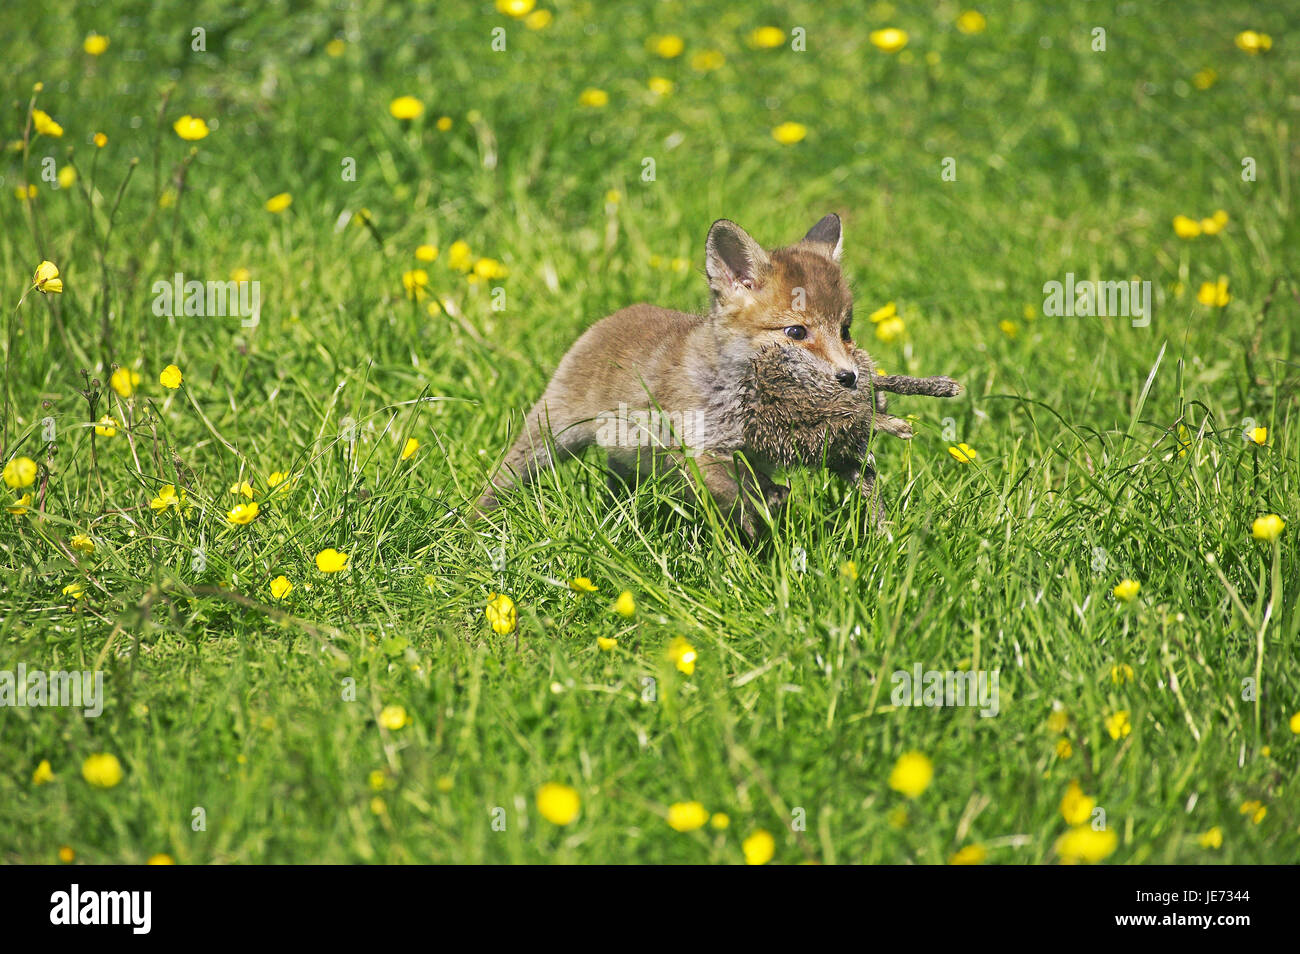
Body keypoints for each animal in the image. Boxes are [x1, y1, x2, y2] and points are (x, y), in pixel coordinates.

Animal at [476, 214, 961, 537]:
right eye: (796, 332)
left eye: (845, 330)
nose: (850, 379)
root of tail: (615, 315)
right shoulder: (699, 450)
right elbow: (738, 495)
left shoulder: (759, 450)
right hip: (551, 435)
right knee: (506, 474)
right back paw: (474, 519)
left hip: (624, 453)